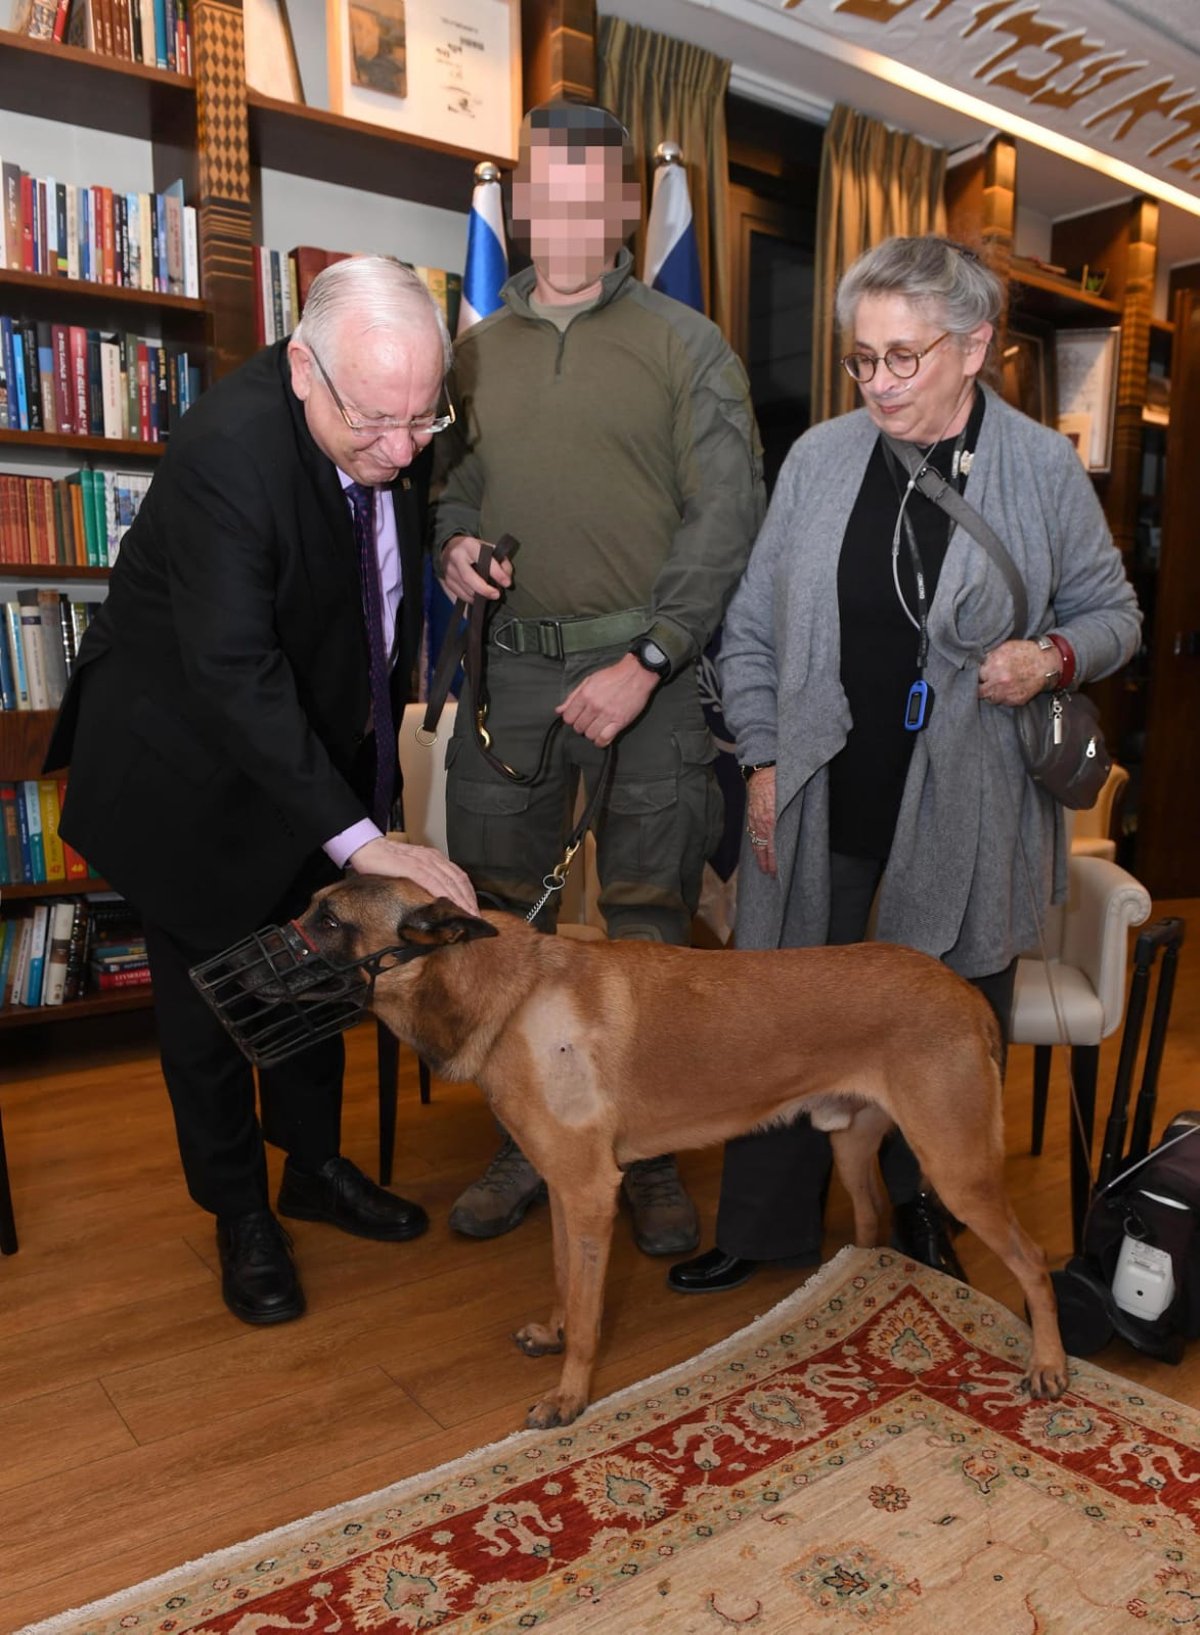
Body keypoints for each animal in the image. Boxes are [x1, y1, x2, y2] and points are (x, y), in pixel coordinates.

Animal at [291, 876, 1072, 1425]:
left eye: (327, 921)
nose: (272, 948)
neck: (510, 993)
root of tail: (966, 991)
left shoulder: (589, 1193)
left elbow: (589, 1314)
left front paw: (570, 1397)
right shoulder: (564, 1193)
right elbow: (565, 1281)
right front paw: (555, 1329)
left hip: (958, 1168)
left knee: (1033, 1260)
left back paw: (1050, 1362)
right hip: (853, 1149)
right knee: (876, 1223)